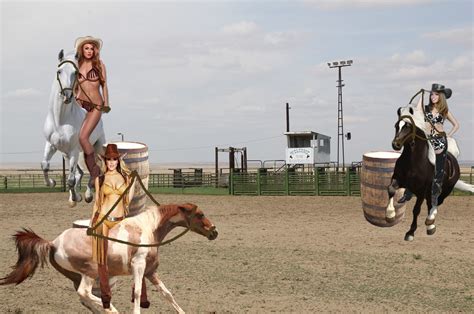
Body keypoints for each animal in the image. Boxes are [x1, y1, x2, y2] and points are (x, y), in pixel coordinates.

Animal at [0, 202, 218, 312]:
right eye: (200, 214)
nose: (214, 232)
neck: (148, 228)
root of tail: (53, 243)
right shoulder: (139, 267)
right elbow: (137, 294)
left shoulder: (150, 271)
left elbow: (167, 294)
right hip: (90, 272)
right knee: (85, 294)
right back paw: (112, 309)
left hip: (77, 276)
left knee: (85, 298)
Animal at [41, 48, 105, 206]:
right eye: (59, 71)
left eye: (76, 73)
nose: (67, 95)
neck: (60, 121)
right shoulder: (51, 145)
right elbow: (45, 165)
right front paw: (52, 183)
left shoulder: (74, 151)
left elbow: (70, 179)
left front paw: (76, 198)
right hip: (67, 154)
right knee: (82, 172)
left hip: (95, 148)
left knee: (96, 169)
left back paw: (88, 196)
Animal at [386, 105, 472, 240]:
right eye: (396, 126)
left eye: (408, 127)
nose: (396, 144)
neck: (413, 161)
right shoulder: (398, 180)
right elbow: (390, 190)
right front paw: (390, 215)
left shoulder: (421, 191)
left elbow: (416, 210)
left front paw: (410, 232)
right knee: (430, 204)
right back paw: (430, 226)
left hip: (444, 190)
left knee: (436, 203)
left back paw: (430, 221)